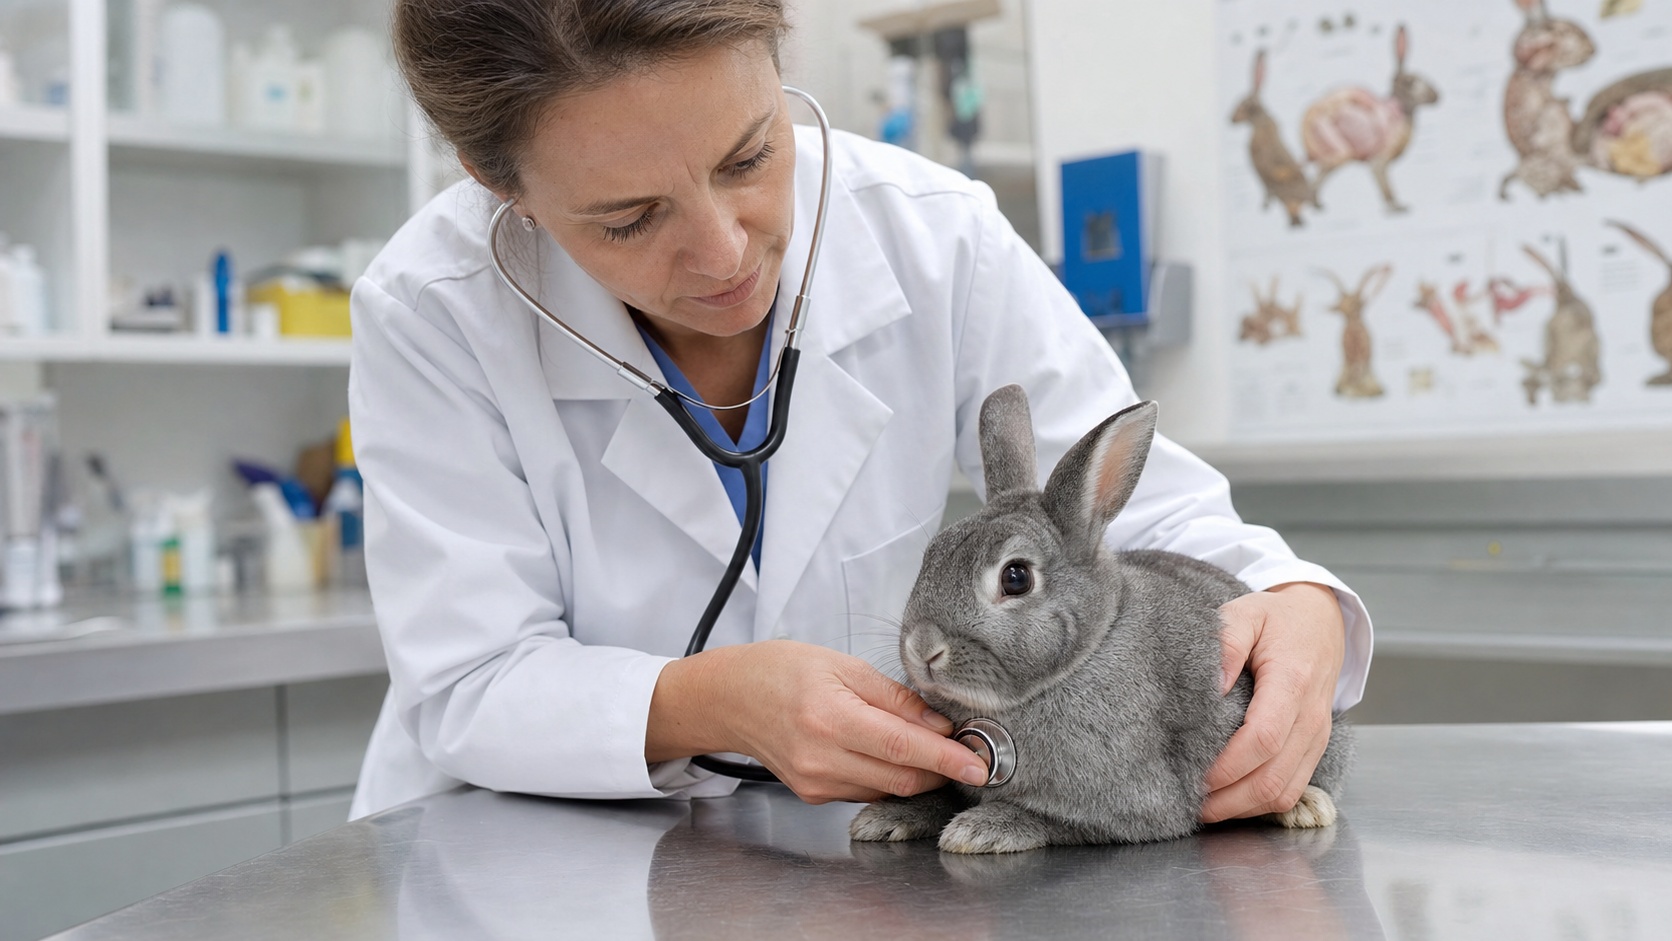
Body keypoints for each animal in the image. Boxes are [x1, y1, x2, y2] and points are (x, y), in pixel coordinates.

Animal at [848, 385, 1356, 854]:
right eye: (931, 555)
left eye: (1016, 577)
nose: (922, 648)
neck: (1083, 656)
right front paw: (887, 817)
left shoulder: (1136, 802)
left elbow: (1055, 820)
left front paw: (980, 830)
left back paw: (1306, 805)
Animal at [1301, 25, 1440, 214]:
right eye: (1410, 82)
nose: (1437, 96)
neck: (1399, 110)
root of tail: (1305, 127)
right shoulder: (1379, 161)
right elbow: (1386, 187)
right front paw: (1397, 209)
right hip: (1337, 148)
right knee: (1318, 176)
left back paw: (1316, 205)